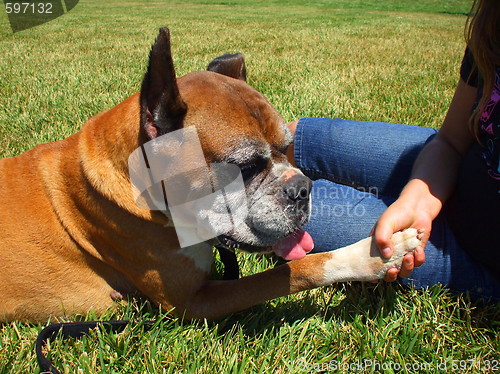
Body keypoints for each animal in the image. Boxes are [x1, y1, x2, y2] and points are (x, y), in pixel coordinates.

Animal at [0, 28, 422, 322]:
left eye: (287, 147)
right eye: (245, 168)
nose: (302, 187)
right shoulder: (191, 303)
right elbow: (296, 269)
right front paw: (370, 256)